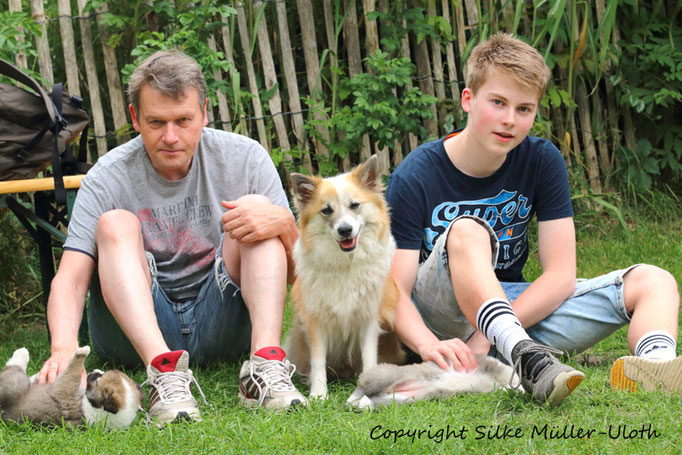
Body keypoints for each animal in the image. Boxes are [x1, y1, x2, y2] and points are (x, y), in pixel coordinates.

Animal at [0, 348, 142, 430]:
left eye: (97, 379)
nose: (94, 371)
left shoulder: (65, 387)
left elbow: (74, 370)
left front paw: (83, 351)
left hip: (12, 382)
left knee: (13, 367)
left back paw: (22, 353)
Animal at [282, 156, 404, 400]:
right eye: (326, 210)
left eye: (355, 205)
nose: (345, 230)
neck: (345, 265)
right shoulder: (315, 324)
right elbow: (318, 361)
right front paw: (318, 395)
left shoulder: (368, 321)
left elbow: (369, 358)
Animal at [348, 352, 516, 410]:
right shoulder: (492, 366)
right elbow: (507, 375)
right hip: (383, 376)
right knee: (361, 386)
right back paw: (352, 401)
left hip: (400, 399)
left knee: (373, 401)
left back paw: (364, 404)